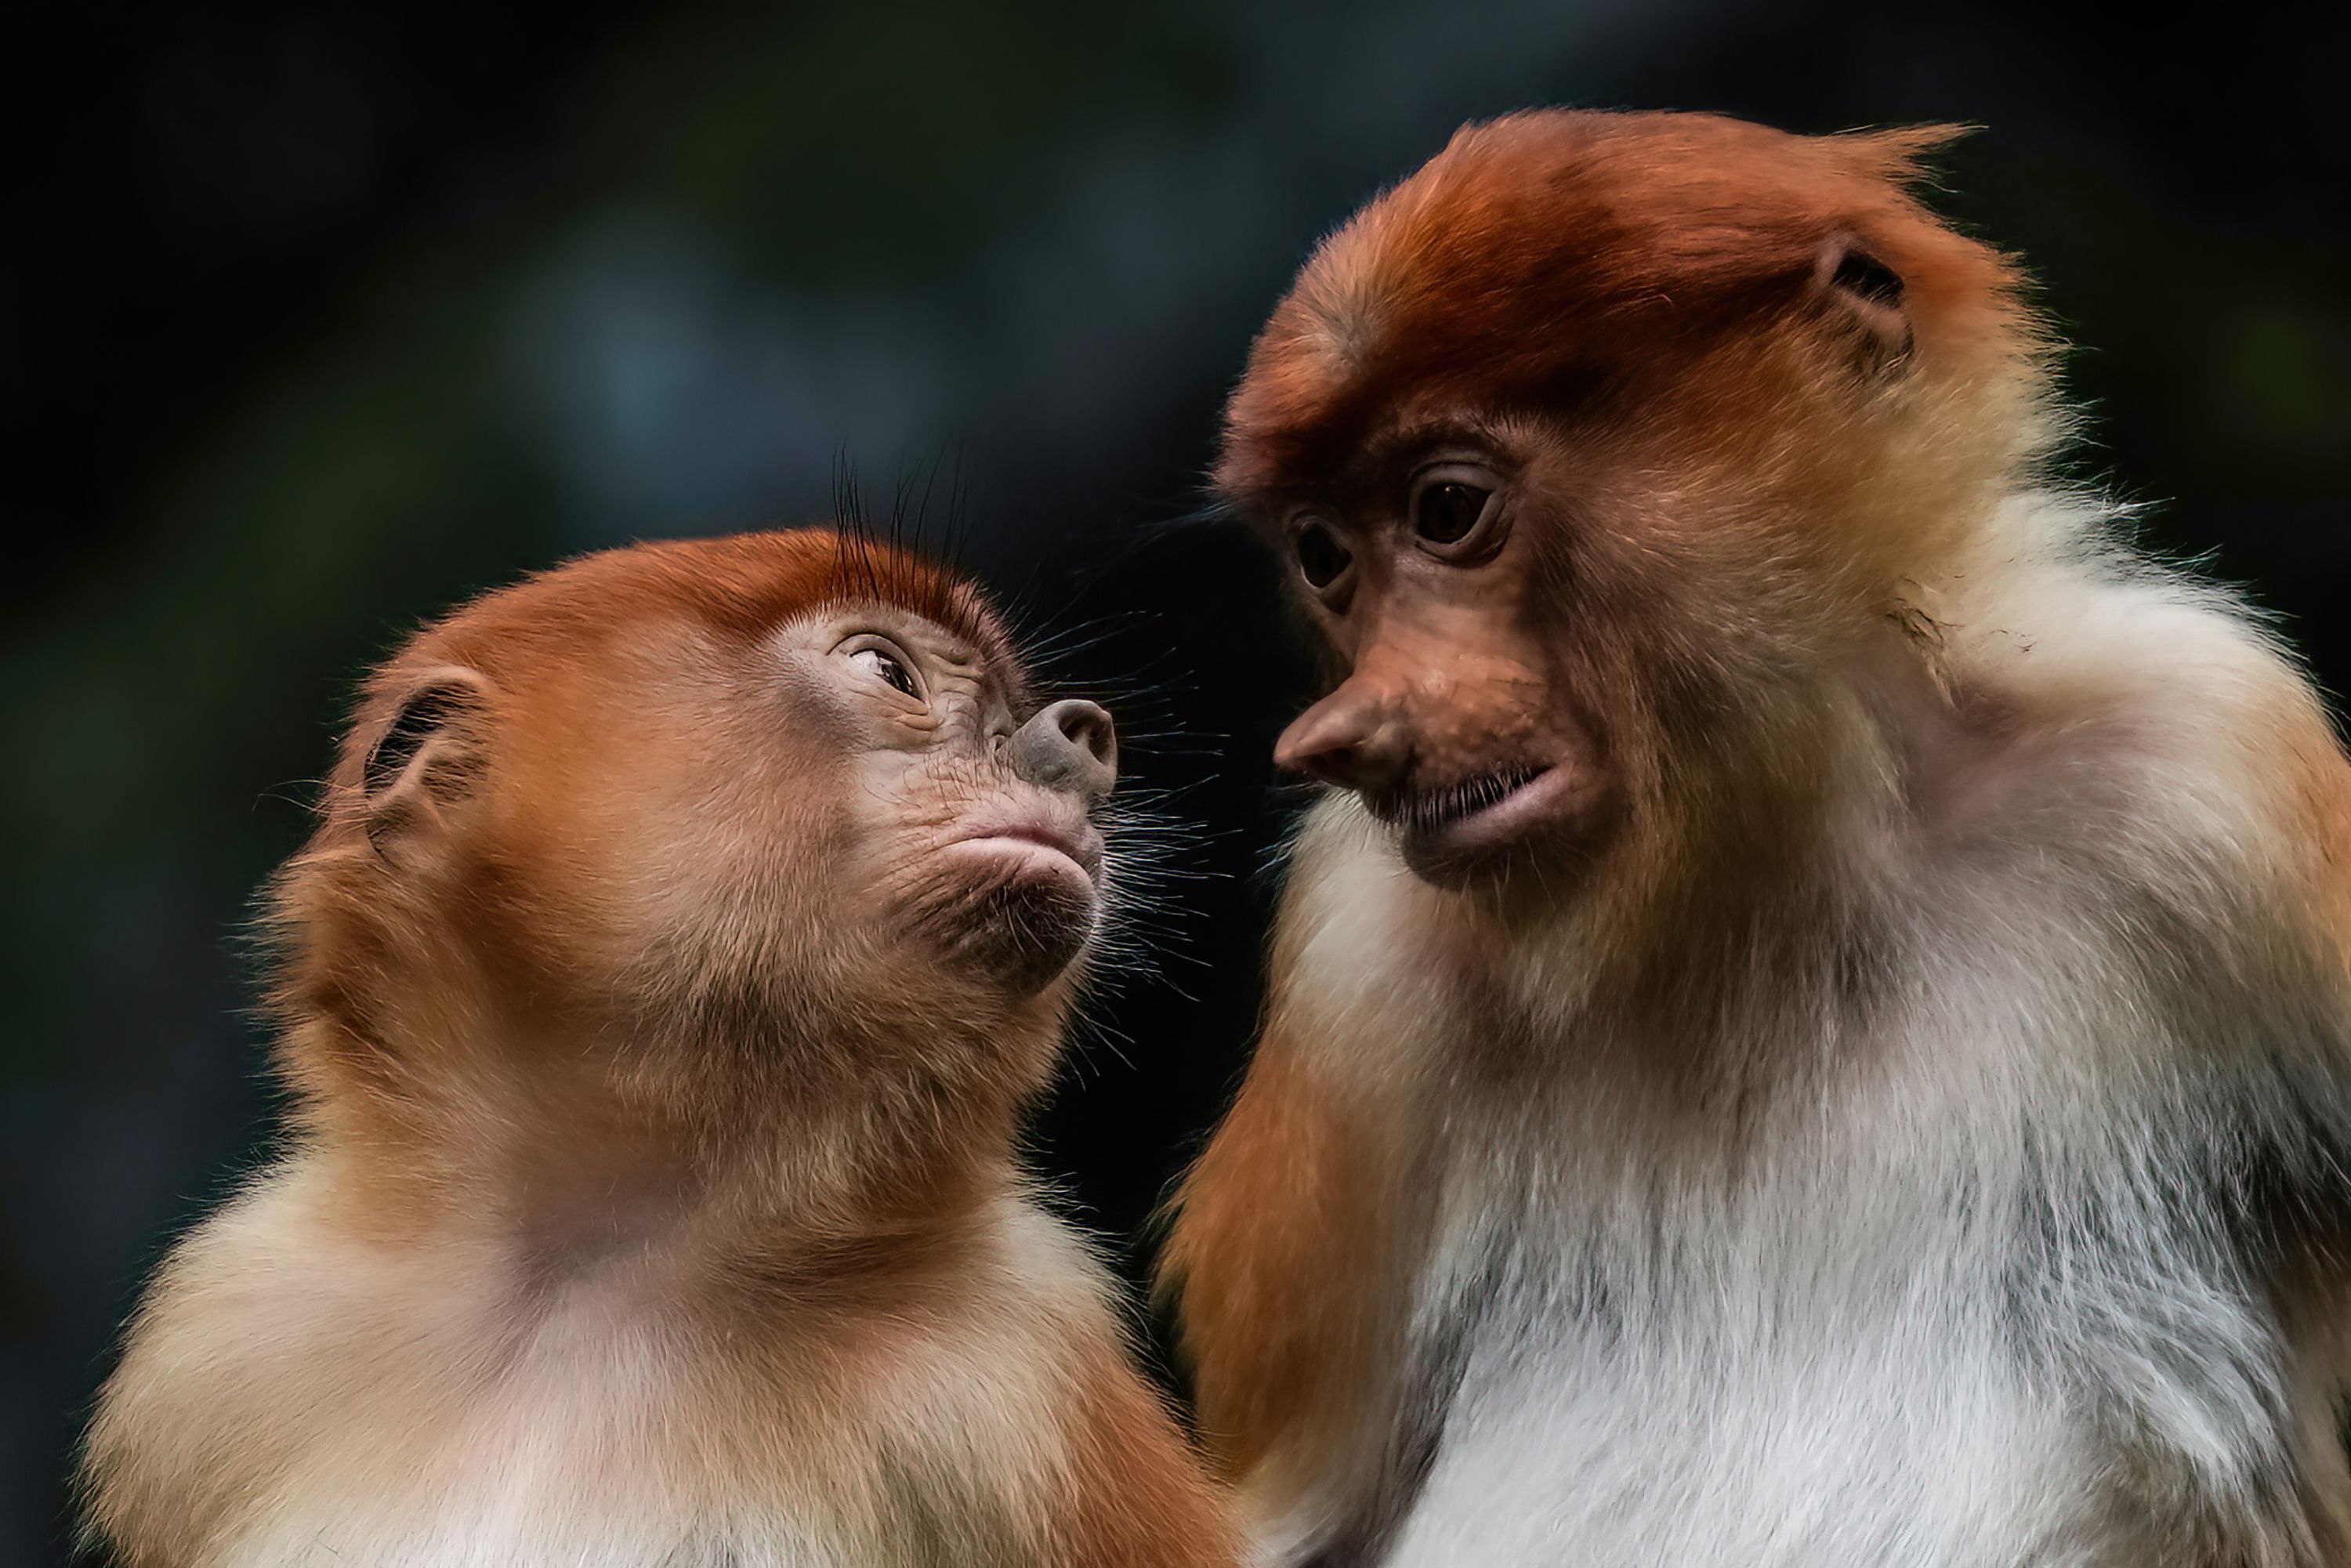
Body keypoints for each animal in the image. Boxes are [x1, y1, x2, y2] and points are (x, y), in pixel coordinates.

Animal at [1159, 109, 2351, 1567]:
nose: (1348, 738)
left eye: (1444, 510)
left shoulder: (2211, 762)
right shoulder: (1355, 966)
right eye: (1327, 556)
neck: (1771, 877)